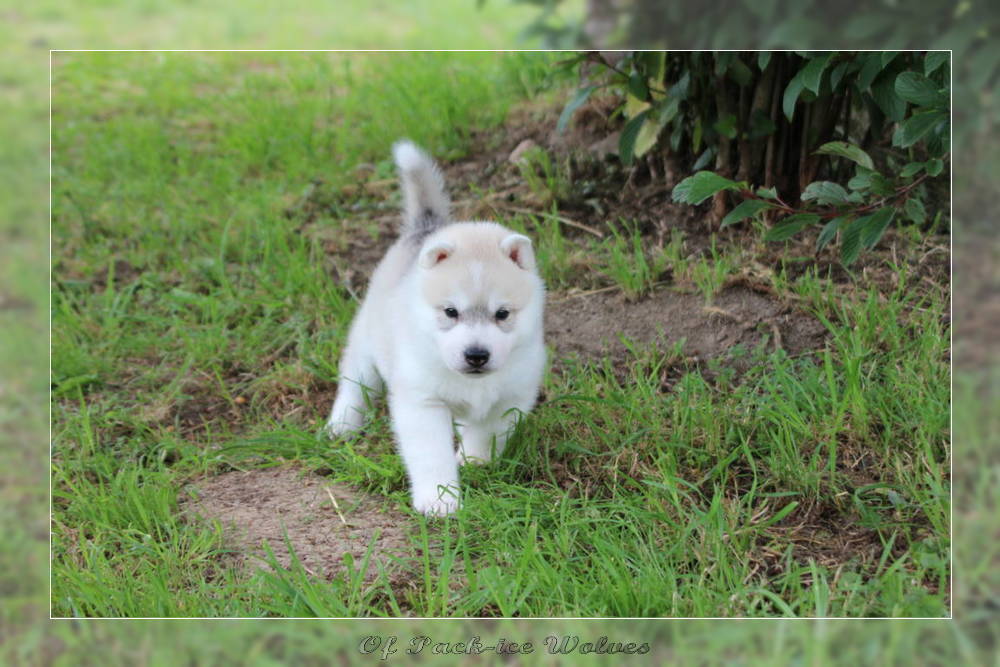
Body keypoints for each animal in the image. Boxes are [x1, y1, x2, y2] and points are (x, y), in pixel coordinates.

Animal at [328, 141, 548, 516]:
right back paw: (342, 423)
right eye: (450, 312)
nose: (476, 355)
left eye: (502, 314)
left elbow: (486, 432)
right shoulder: (422, 403)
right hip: (366, 344)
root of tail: (423, 230)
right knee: (354, 383)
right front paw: (439, 499)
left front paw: (475, 460)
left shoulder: (511, 397)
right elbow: (431, 456)